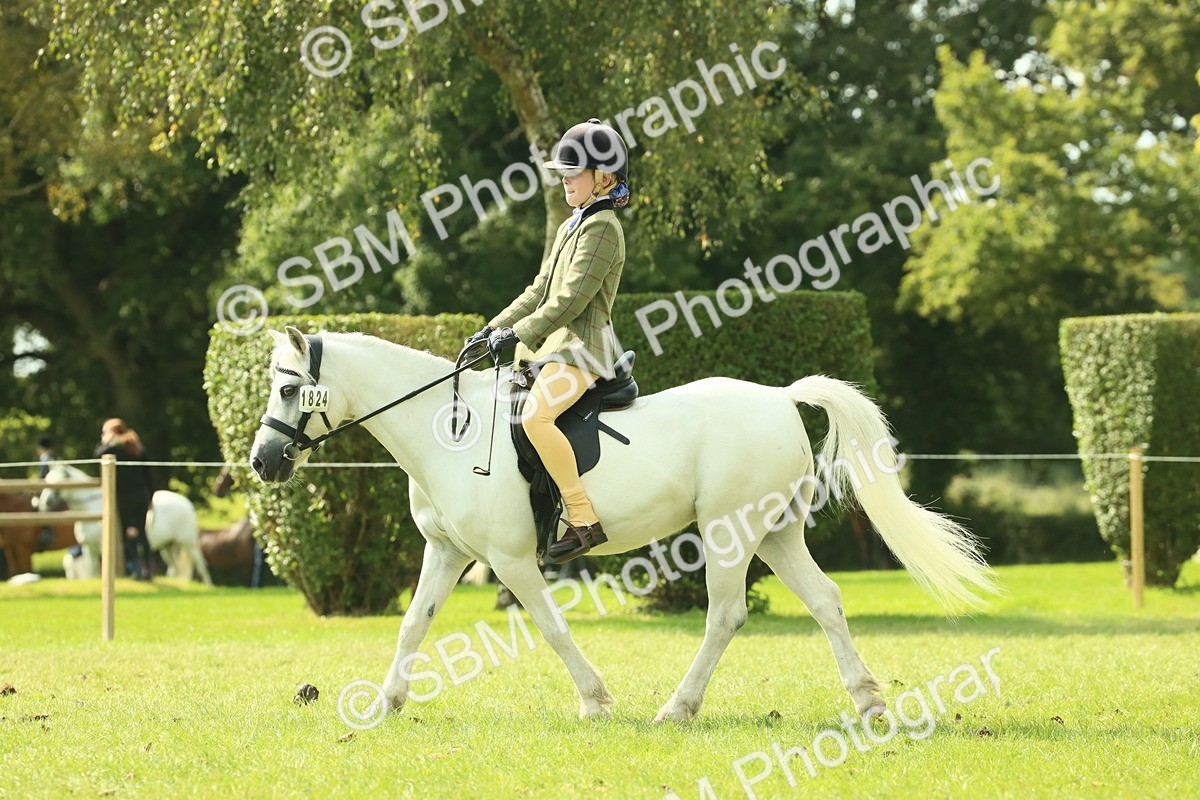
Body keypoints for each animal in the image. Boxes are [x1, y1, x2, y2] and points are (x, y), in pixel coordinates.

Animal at [40, 464, 213, 584]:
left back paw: (208, 585)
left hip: (189, 543)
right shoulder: (89, 547)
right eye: (47, 480)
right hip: (167, 546)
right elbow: (92, 570)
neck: (92, 508)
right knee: (174, 568)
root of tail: (187, 503)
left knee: (201, 564)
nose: (45, 503)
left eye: (58, 482)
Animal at [249, 327, 996, 723]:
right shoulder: (447, 552)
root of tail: (781, 399)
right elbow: (412, 624)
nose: (261, 461)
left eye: (288, 388)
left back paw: (678, 709)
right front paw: (385, 705)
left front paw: (596, 700)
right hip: (776, 533)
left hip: (729, 532)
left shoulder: (512, 561)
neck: (448, 431)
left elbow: (552, 629)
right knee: (827, 602)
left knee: (725, 615)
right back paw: (867, 701)